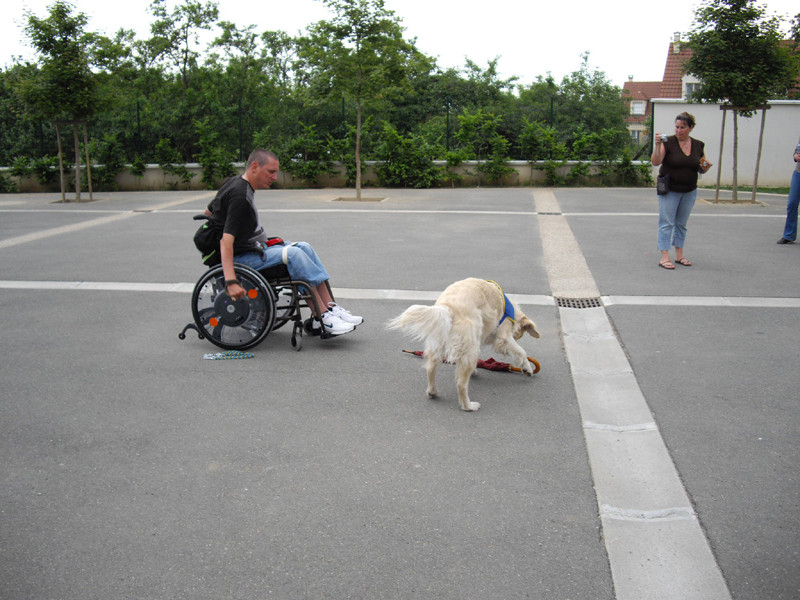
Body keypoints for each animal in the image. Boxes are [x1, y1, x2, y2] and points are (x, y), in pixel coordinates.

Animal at [386, 278, 540, 412]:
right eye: (518, 335)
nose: (516, 336)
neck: (510, 310)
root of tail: (447, 307)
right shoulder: (504, 336)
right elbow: (521, 351)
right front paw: (527, 368)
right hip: (470, 344)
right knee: (461, 384)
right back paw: (468, 406)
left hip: (440, 344)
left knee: (430, 368)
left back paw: (432, 392)